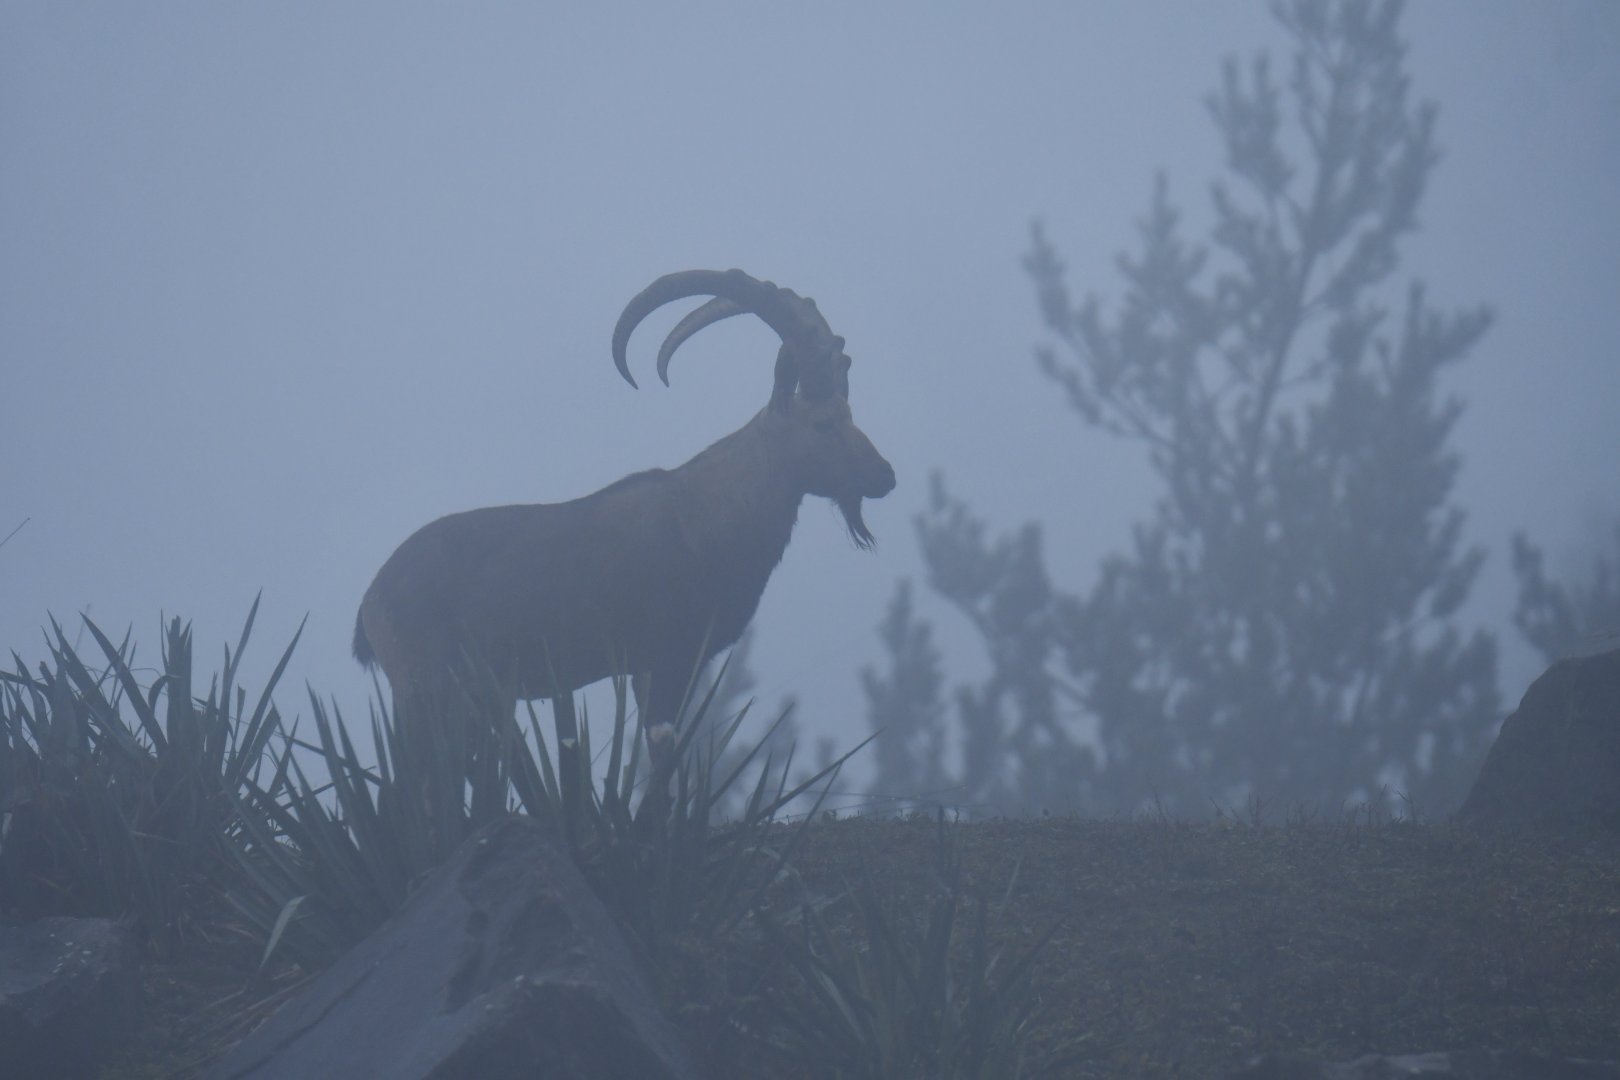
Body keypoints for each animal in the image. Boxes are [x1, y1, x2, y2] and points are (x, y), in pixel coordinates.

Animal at [352, 269, 895, 776]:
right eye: (822, 423)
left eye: (849, 412)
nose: (884, 476)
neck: (710, 517)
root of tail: (371, 600)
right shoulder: (661, 659)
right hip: (424, 689)